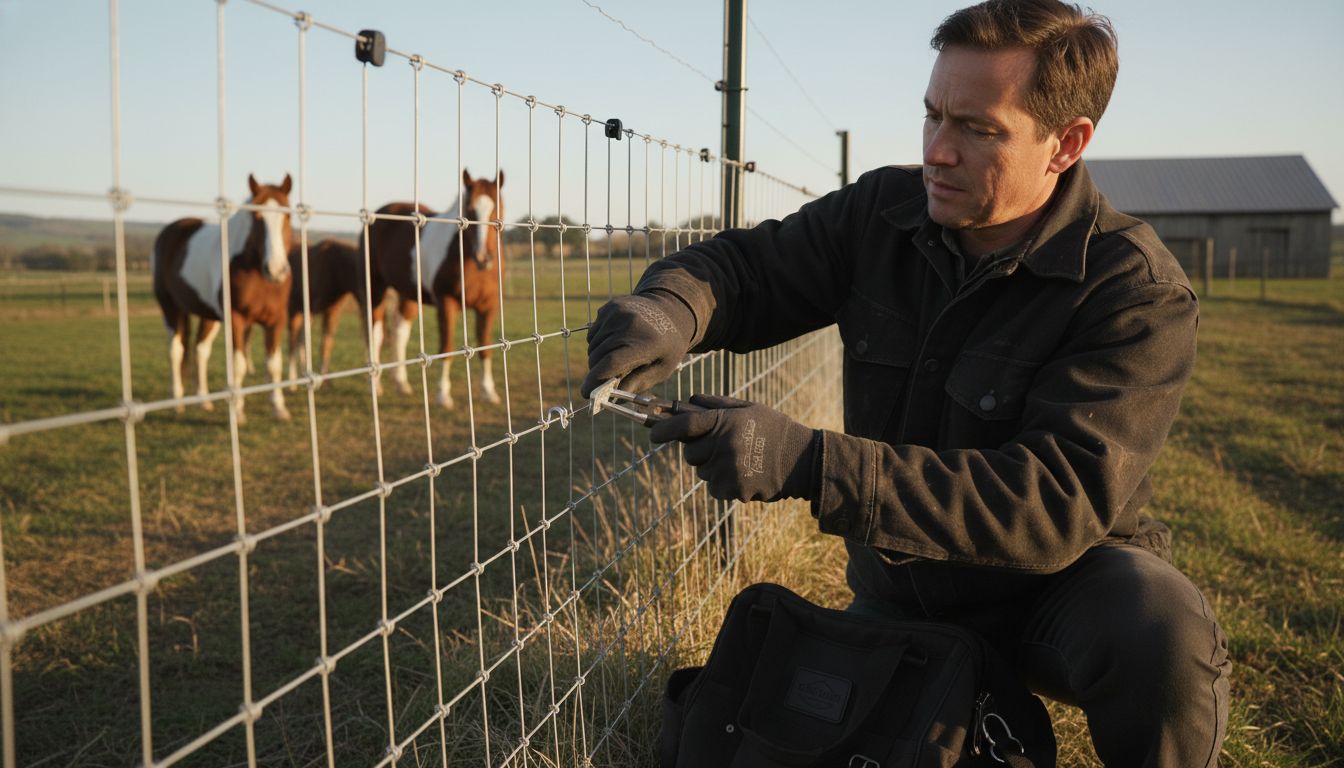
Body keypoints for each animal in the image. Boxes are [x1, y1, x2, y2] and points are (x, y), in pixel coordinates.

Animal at [152, 174, 295, 422]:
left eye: (287, 215)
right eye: (257, 217)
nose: (276, 270)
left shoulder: (276, 321)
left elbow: (274, 365)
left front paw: (279, 408)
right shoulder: (236, 319)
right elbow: (238, 365)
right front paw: (237, 411)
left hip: (208, 316)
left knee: (200, 351)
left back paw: (204, 401)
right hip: (170, 308)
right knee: (176, 351)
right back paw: (178, 402)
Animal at [287, 237, 360, 382]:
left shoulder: (333, 311)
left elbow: (326, 343)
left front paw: (325, 379)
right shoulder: (313, 308)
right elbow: (304, 340)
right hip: (292, 308)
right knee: (292, 340)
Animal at [361, 169, 505, 408]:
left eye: (497, 206)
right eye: (470, 209)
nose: (484, 258)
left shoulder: (488, 306)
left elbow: (485, 346)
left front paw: (489, 392)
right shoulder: (446, 303)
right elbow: (446, 347)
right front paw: (443, 395)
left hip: (408, 295)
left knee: (399, 332)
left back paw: (401, 384)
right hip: (375, 290)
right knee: (376, 334)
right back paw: (376, 387)